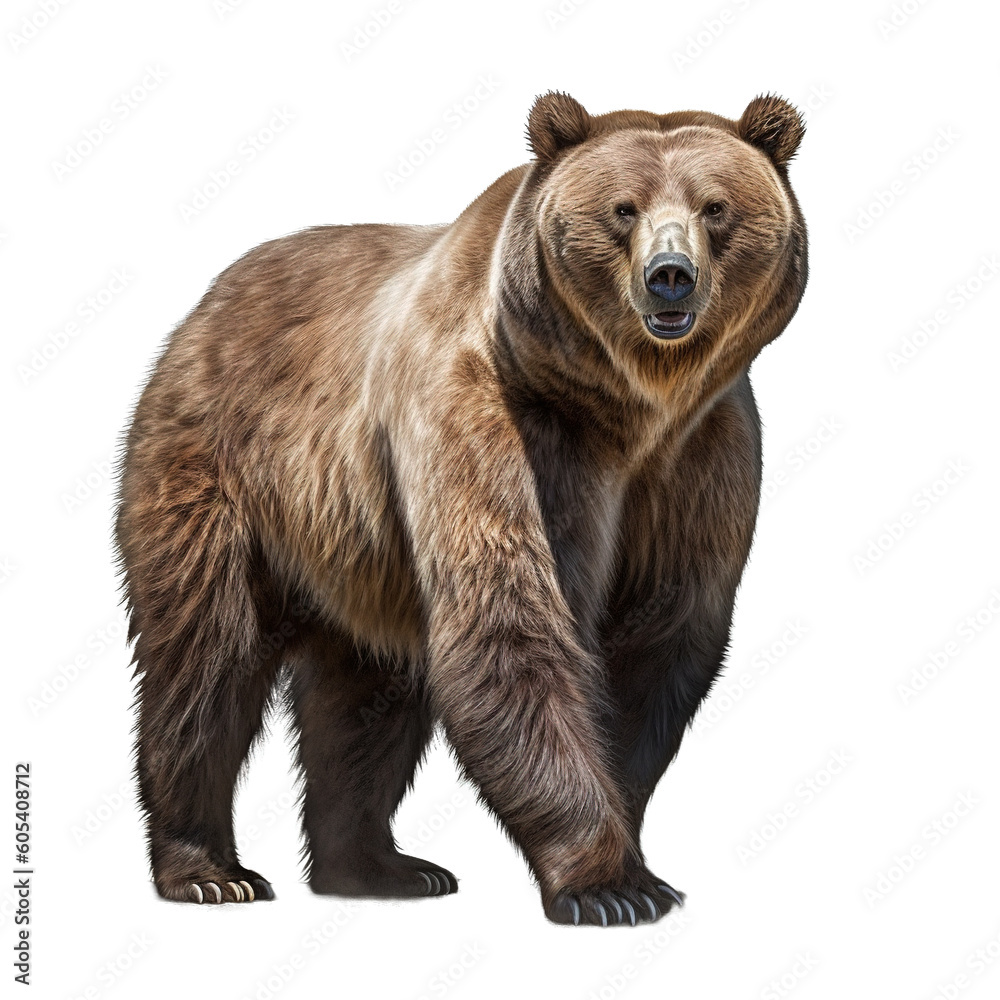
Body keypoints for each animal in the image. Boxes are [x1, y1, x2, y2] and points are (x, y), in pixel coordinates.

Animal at [115, 91, 808, 925]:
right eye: (622, 208)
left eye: (715, 208)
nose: (669, 277)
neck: (626, 411)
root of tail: (204, 306)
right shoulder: (487, 417)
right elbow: (510, 626)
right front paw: (612, 885)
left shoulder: (698, 458)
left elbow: (659, 639)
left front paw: (629, 848)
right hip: (218, 475)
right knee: (205, 661)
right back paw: (211, 871)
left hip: (358, 545)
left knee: (367, 697)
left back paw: (380, 868)